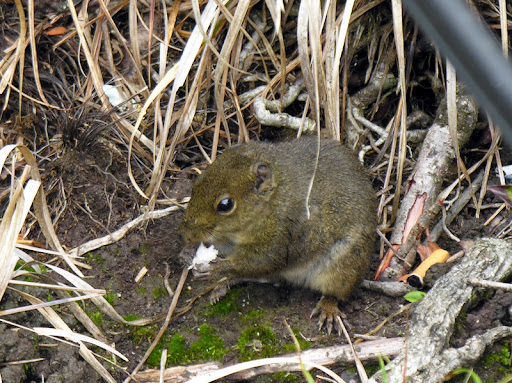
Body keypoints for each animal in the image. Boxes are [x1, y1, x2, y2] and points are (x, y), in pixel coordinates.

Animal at [179, 138, 376, 332]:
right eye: (197, 183)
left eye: (225, 204)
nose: (185, 235)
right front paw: (188, 252)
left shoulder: (282, 233)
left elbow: (262, 259)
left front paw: (216, 267)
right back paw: (226, 282)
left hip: (344, 268)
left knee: (336, 293)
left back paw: (329, 308)